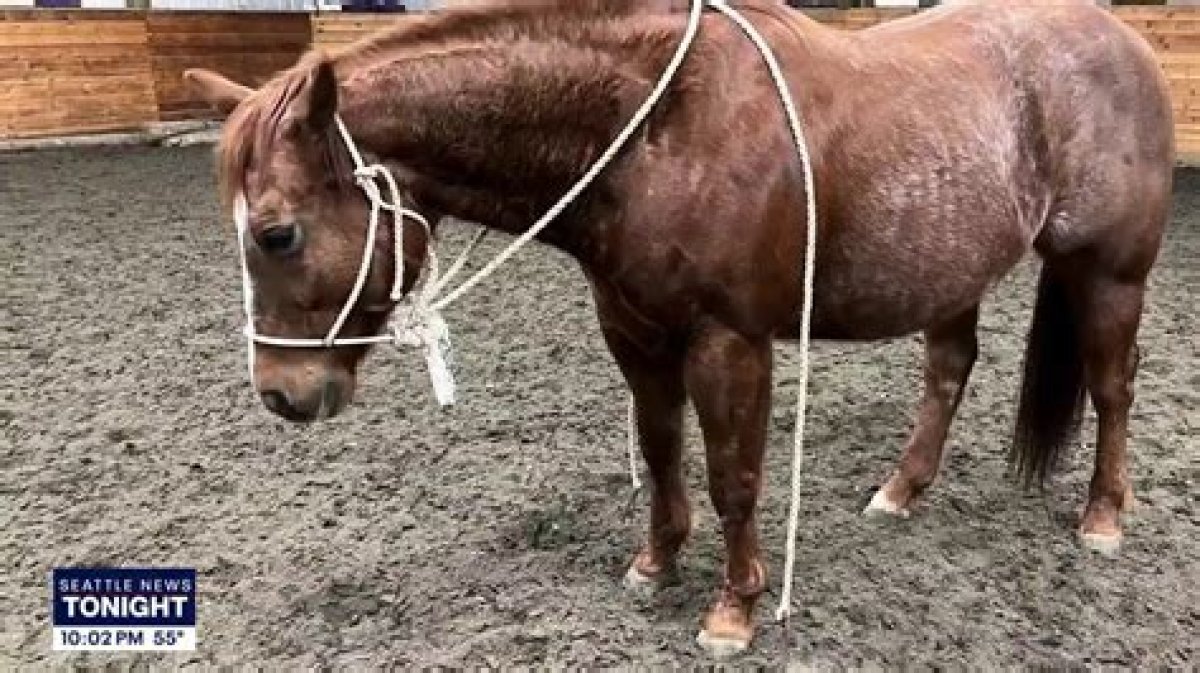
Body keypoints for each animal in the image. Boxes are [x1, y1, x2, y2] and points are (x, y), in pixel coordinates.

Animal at [184, 0, 1173, 656]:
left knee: (1113, 388)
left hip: (1109, 273)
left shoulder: (730, 341)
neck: (655, 130)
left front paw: (734, 608)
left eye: (277, 232)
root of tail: (1123, 39)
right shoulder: (633, 331)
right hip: (950, 270)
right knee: (950, 368)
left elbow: (735, 474)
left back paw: (1103, 516)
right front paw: (655, 562)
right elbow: (663, 450)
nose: (282, 393)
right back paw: (902, 489)